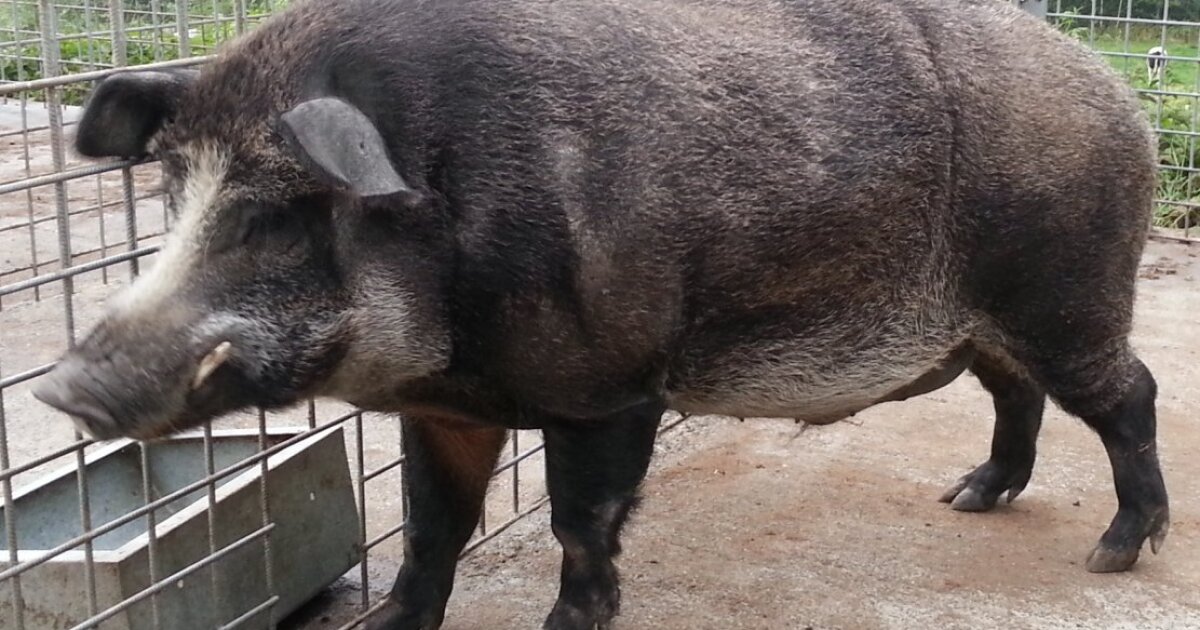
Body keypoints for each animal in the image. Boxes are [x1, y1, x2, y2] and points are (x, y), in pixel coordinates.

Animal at [34, 0, 1169, 628]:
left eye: (275, 214)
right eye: (171, 189)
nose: (62, 384)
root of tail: (1118, 94)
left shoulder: (610, 385)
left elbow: (581, 526)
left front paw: (565, 626)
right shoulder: (444, 406)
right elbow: (431, 528)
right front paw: (388, 626)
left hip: (1069, 289)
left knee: (1130, 394)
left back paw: (1114, 553)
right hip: (993, 322)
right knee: (1017, 394)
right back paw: (969, 498)